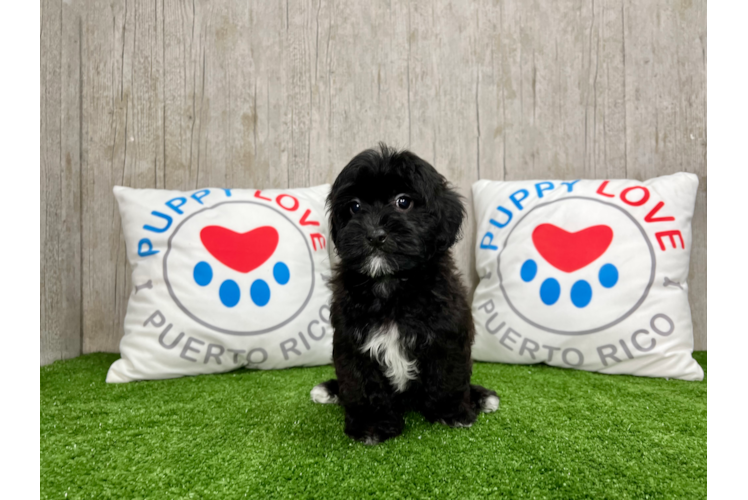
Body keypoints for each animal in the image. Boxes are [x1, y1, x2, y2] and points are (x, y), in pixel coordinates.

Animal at [310, 143, 502, 444]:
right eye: (354, 207)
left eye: (403, 202)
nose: (375, 234)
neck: (391, 284)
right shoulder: (352, 340)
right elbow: (362, 384)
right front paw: (371, 426)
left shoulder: (446, 333)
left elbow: (448, 375)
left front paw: (452, 413)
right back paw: (330, 390)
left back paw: (480, 397)